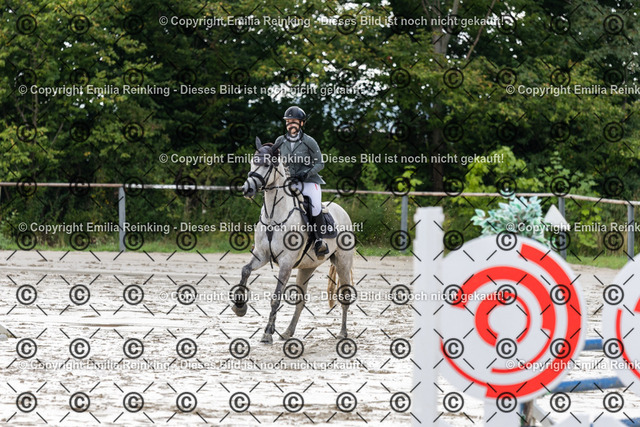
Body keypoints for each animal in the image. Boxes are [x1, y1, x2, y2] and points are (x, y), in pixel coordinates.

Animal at [232, 137, 355, 344]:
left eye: (266, 165)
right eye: (252, 162)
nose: (247, 189)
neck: (273, 216)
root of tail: (342, 211)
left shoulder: (286, 263)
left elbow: (275, 297)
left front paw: (267, 333)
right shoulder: (261, 255)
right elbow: (245, 270)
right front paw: (239, 307)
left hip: (342, 263)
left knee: (344, 296)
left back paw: (342, 333)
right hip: (307, 267)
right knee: (301, 300)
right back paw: (288, 332)